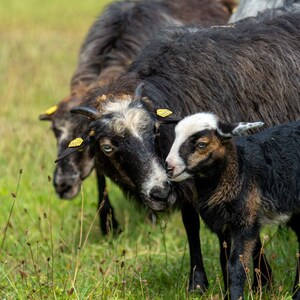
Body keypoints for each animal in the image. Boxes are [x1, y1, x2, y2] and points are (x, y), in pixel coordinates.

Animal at [165, 112, 300, 298]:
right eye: (175, 137)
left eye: (201, 144)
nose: (168, 167)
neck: (240, 170)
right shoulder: (223, 227)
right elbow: (224, 262)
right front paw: (228, 295)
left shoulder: (245, 223)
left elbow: (236, 265)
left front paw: (236, 296)